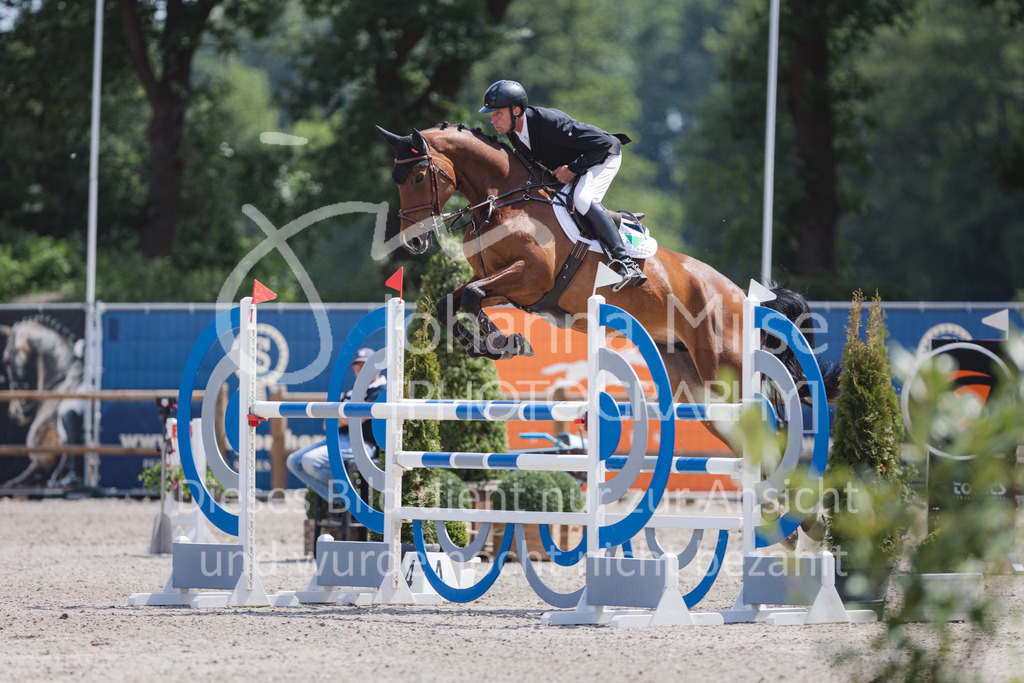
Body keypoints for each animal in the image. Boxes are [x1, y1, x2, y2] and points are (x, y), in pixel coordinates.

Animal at [372, 125, 835, 419]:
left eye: (418, 176)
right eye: (396, 179)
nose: (413, 243)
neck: (504, 200)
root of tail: (742, 296)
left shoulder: (530, 277)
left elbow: (469, 298)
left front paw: (502, 342)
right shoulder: (505, 283)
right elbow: (454, 302)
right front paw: (494, 344)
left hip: (727, 366)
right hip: (695, 376)